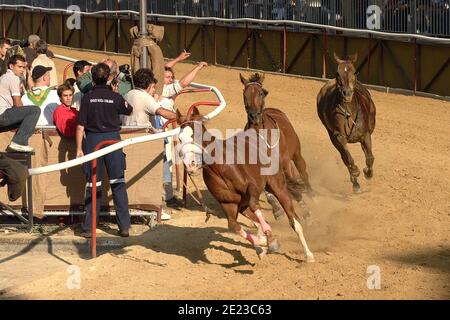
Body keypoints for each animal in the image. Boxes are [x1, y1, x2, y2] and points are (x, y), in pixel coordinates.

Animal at [174, 107, 314, 262]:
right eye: (180, 138)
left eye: (197, 134)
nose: (190, 165)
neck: (221, 167)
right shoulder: (228, 203)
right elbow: (234, 226)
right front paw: (263, 243)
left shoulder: (253, 188)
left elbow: (255, 207)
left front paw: (269, 240)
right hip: (242, 204)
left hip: (278, 185)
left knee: (293, 219)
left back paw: (308, 254)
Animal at [241, 74, 312, 221]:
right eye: (245, 94)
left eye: (261, 93)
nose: (254, 116)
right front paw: (277, 209)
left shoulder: (285, 163)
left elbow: (294, 189)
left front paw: (306, 212)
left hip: (296, 155)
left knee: (304, 175)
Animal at [316, 53, 376, 192]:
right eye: (337, 73)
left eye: (354, 72)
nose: (347, 93)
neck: (349, 112)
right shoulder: (339, 136)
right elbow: (347, 158)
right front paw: (355, 171)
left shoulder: (365, 135)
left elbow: (370, 157)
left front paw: (368, 172)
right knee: (344, 157)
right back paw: (355, 183)